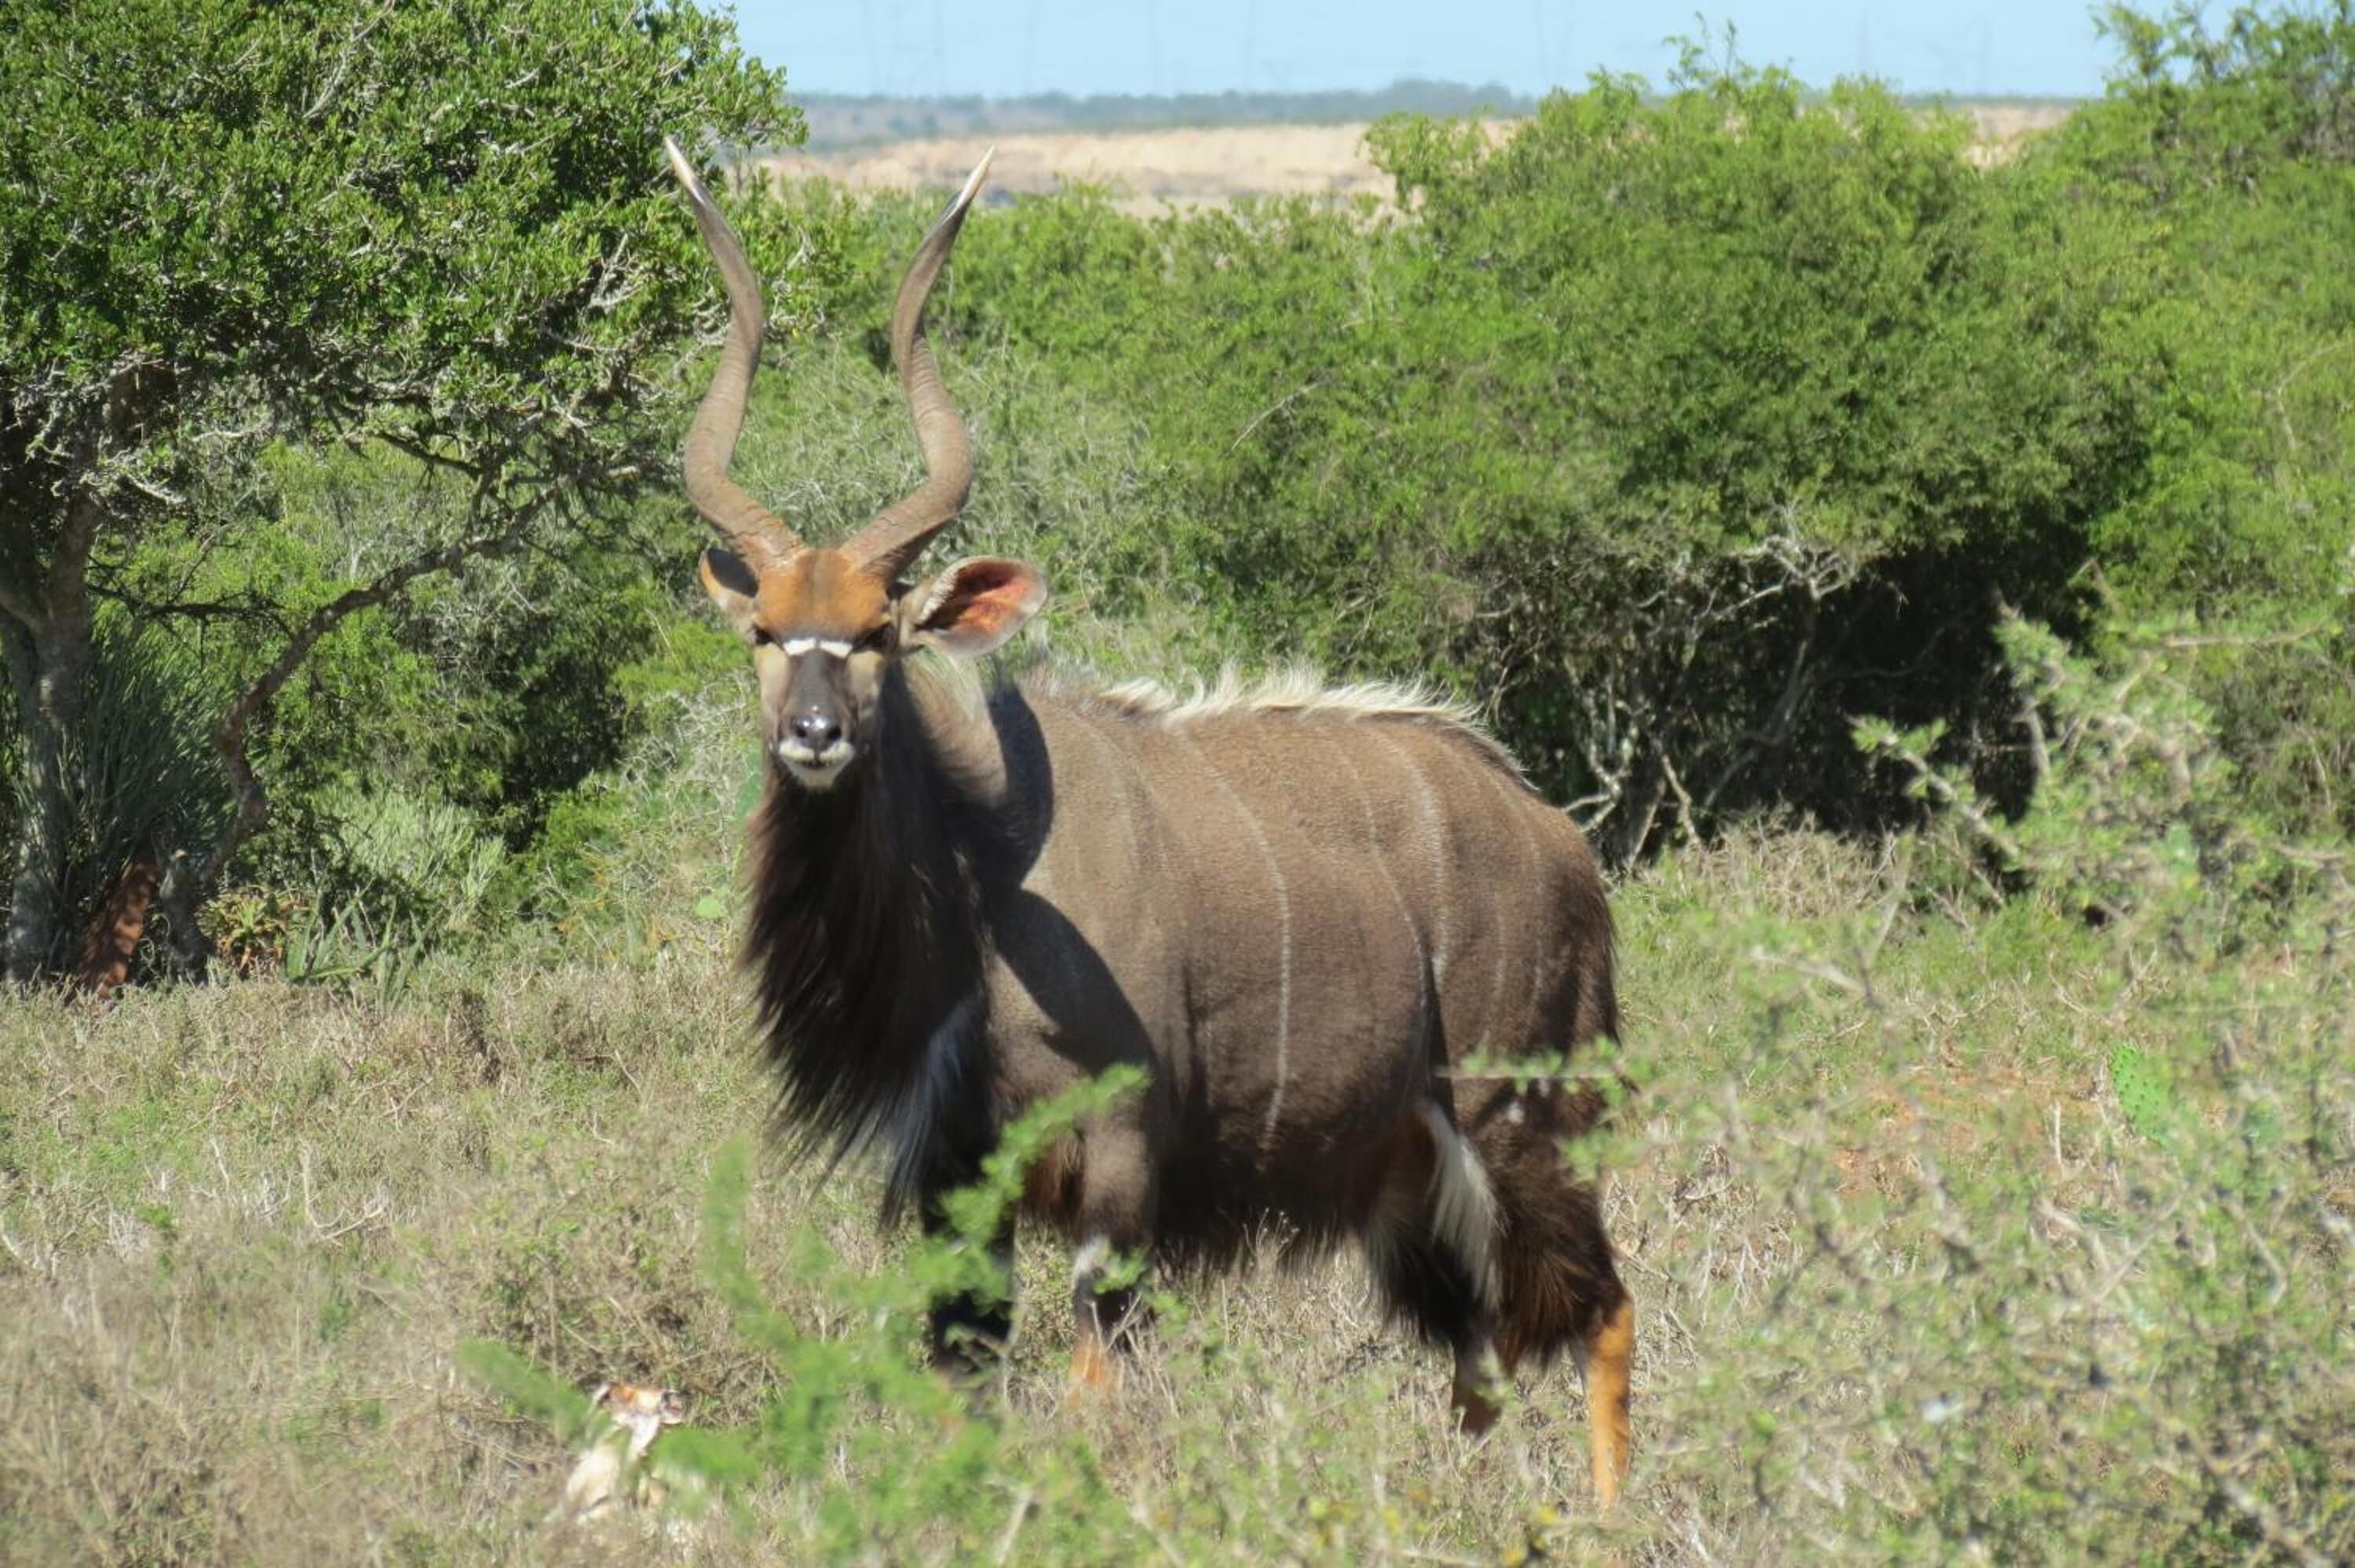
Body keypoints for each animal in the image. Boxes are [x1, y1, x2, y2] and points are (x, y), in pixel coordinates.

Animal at [661, 137, 1636, 1504]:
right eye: (764, 630)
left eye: (878, 633)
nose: (813, 734)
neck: (983, 889)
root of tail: (1564, 844)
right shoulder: (957, 1187)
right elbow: (969, 1390)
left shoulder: (1118, 1174)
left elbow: (1093, 1397)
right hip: (1412, 1186)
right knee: (1480, 1362)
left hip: (1522, 1118)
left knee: (1604, 1309)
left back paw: (1603, 1519)